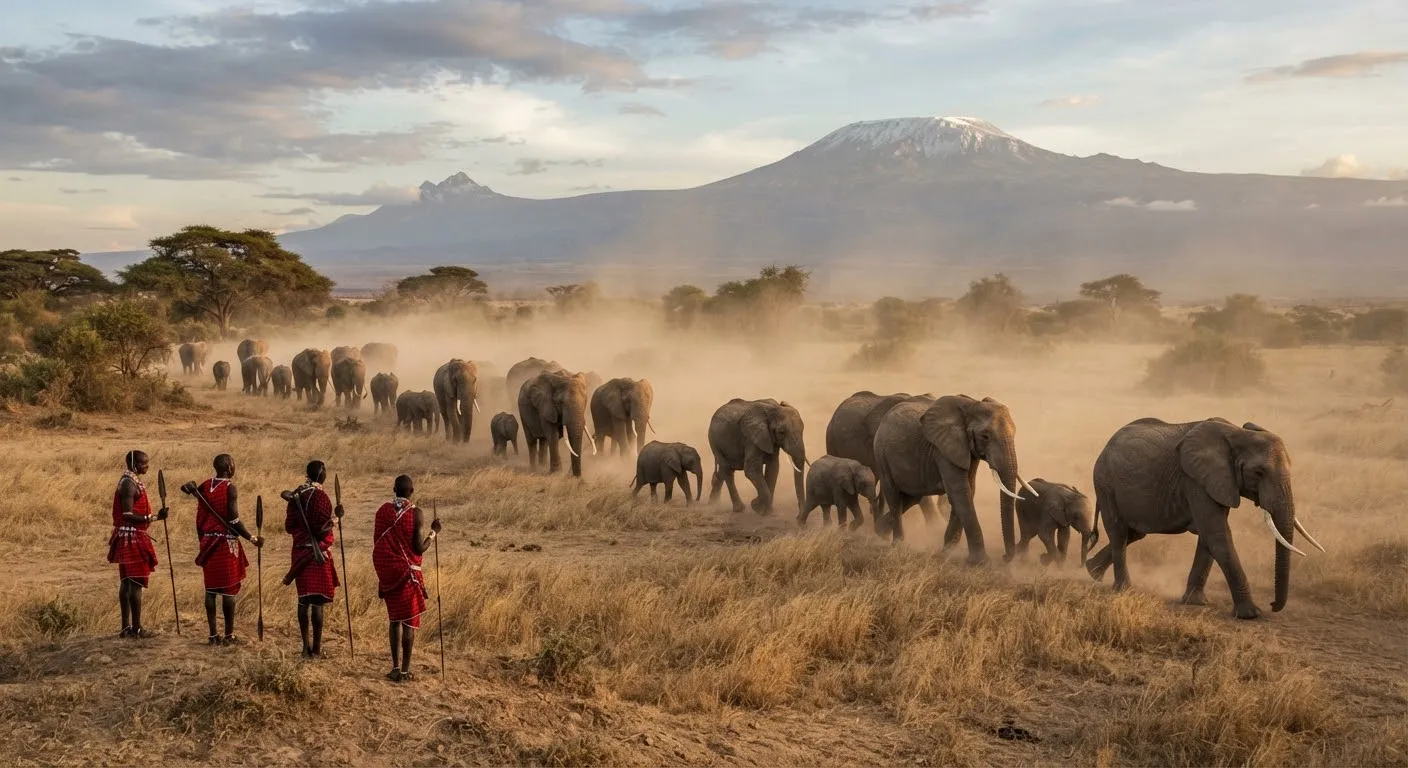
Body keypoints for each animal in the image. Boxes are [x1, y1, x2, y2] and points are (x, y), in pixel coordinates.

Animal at [873, 394, 1033, 563]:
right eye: (985, 436)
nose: (1004, 557)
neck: (972, 405)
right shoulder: (944, 449)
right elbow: (960, 492)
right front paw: (980, 562)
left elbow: (969, 489)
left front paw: (946, 552)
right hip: (881, 453)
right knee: (893, 495)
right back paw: (897, 544)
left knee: (912, 497)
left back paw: (880, 531)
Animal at [1085, 418, 1324, 620]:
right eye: (1259, 473)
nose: (1273, 605)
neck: (1238, 433)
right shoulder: (1196, 481)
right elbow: (1217, 534)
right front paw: (1250, 614)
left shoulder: (1218, 483)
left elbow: (1208, 537)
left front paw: (1195, 602)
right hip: (1105, 482)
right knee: (1119, 533)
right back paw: (1123, 589)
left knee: (1134, 533)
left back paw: (1092, 571)